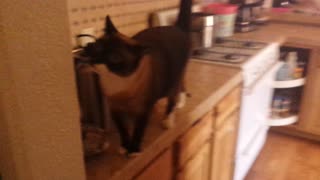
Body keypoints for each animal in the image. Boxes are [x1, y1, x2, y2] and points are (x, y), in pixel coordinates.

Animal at [82, 0, 192, 155]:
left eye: (114, 58)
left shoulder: (143, 111)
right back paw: (179, 103)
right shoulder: (115, 109)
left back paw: (168, 119)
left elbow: (138, 131)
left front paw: (133, 150)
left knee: (173, 94)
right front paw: (124, 146)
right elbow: (123, 130)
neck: (117, 83)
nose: (97, 60)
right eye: (97, 47)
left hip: (175, 76)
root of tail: (175, 27)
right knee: (179, 87)